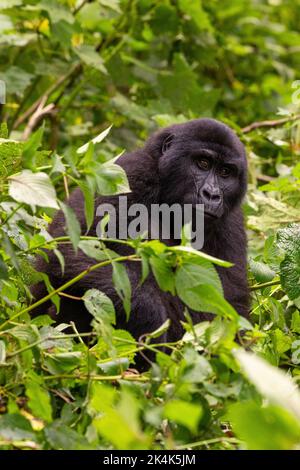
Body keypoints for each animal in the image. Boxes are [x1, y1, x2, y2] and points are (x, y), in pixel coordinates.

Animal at [31, 119, 250, 358]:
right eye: (202, 163)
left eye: (225, 172)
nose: (212, 194)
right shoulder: (131, 173)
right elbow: (66, 252)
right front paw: (149, 319)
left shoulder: (232, 222)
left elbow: (232, 309)